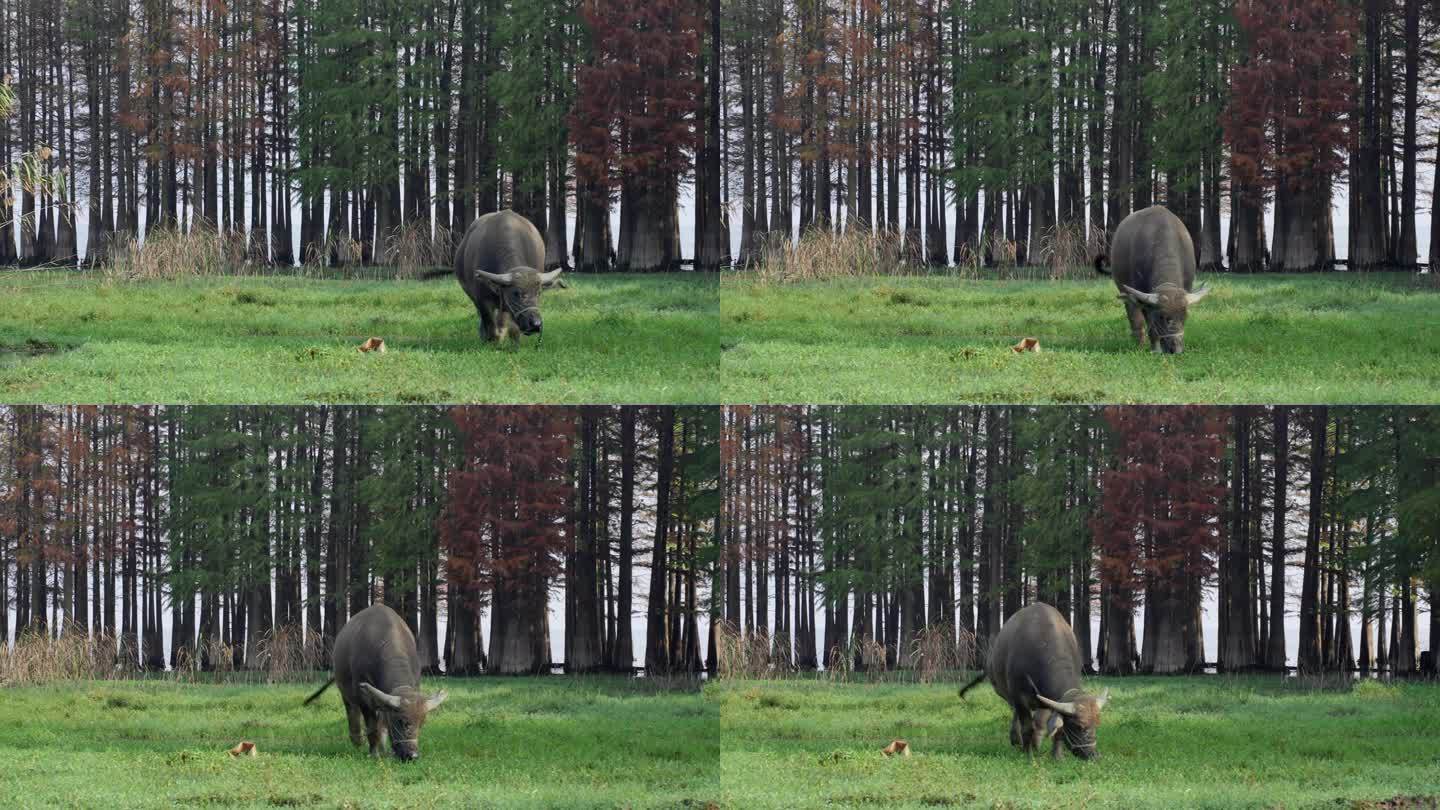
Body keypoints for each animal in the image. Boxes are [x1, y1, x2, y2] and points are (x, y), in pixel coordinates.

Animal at [299, 602, 443, 760]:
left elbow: (383, 724)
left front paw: (385, 750)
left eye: (421, 723)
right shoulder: (364, 696)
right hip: (346, 692)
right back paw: (357, 740)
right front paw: (374, 753)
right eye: (400, 721)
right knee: (352, 711)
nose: (412, 755)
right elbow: (372, 727)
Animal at [455, 207, 561, 340]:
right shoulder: (482, 300)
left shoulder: (506, 306)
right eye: (516, 293)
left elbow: (507, 326)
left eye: (539, 293)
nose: (535, 324)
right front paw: (489, 338)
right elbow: (490, 326)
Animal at [961, 599, 1105, 755]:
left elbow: (1044, 726)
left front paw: (1050, 752)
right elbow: (1027, 726)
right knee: (1016, 714)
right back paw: (1016, 740)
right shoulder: (1019, 697)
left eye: (1096, 724)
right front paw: (1028, 752)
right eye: (1078, 726)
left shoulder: (1046, 700)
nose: (1092, 754)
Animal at [1094, 203, 1209, 351]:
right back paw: (1139, 342)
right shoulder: (1143, 299)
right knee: (1134, 316)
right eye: (1162, 316)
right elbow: (1151, 326)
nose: (1175, 348)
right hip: (1125, 293)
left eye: (1184, 316)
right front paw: (1155, 348)